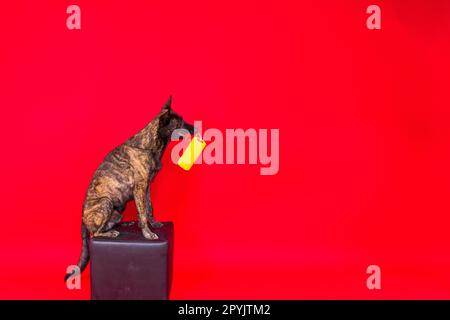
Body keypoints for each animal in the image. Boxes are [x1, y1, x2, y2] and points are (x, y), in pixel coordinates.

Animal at [65, 97, 195, 280]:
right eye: (180, 122)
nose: (196, 128)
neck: (149, 145)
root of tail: (82, 220)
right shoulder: (139, 187)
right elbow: (142, 213)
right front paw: (147, 233)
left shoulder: (146, 188)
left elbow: (149, 208)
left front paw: (153, 223)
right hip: (105, 202)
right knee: (96, 232)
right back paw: (111, 233)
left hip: (119, 207)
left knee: (109, 224)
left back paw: (123, 224)